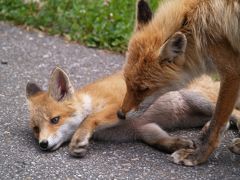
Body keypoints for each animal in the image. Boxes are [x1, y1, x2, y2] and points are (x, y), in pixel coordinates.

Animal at [26, 67, 240, 158]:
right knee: (223, 120)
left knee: (234, 113)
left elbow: (90, 118)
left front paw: (78, 140)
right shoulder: (143, 129)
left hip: (201, 100)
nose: (43, 144)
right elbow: (160, 140)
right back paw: (208, 129)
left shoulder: (120, 108)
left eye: (55, 120)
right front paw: (178, 144)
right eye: (36, 129)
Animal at [120, 0, 240, 166]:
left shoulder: (232, 71)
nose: (120, 114)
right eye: (126, 81)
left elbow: (216, 126)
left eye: (143, 89)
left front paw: (197, 156)